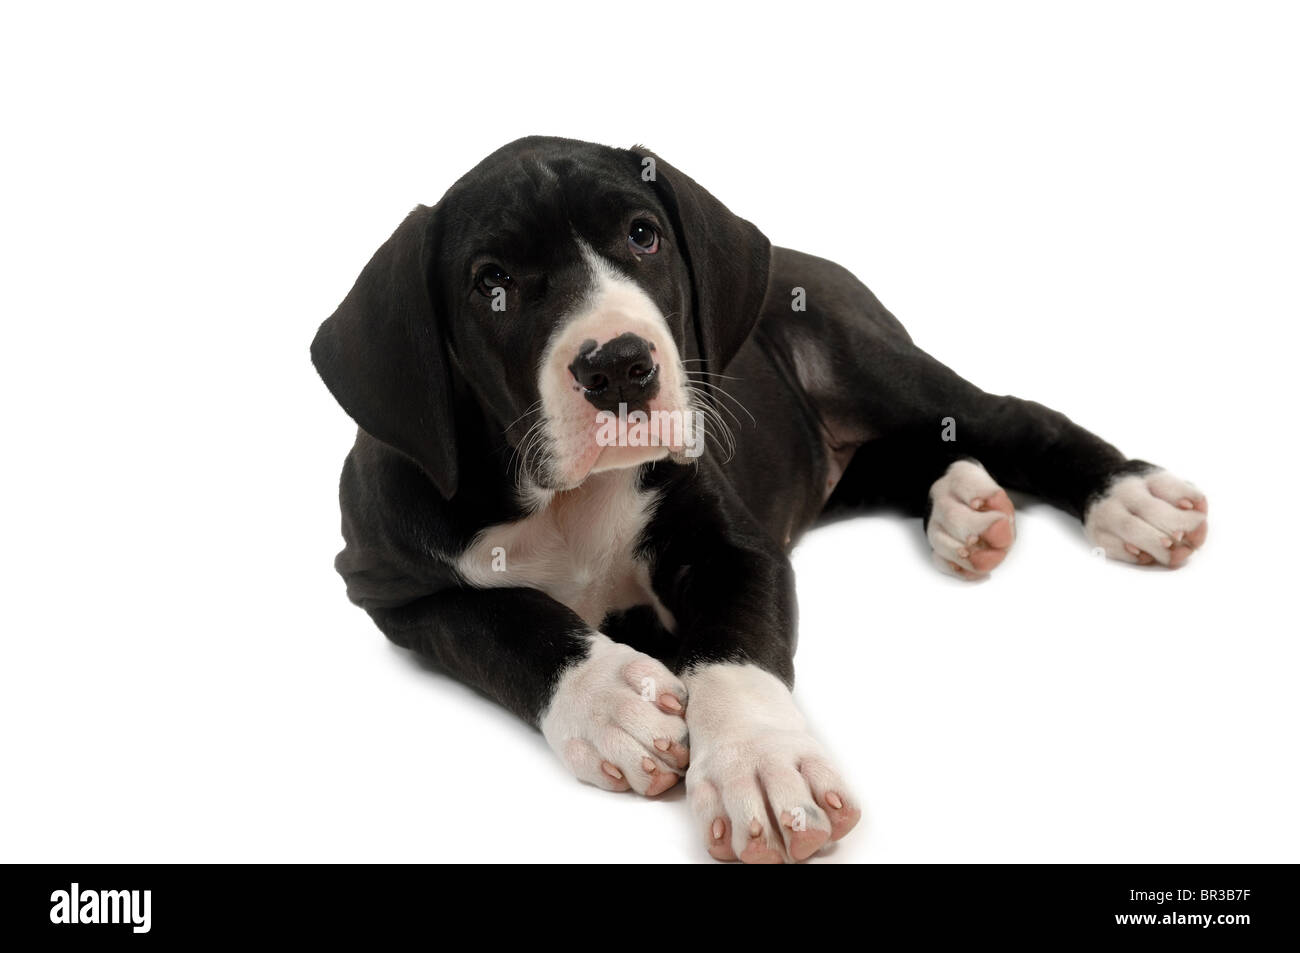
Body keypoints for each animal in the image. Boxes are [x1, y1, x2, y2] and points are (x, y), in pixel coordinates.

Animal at [312, 135, 1206, 863]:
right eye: (490, 282)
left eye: (643, 234)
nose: (618, 365)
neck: (561, 495)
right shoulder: (390, 588)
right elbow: (504, 621)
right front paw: (610, 700)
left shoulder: (734, 545)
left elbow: (733, 649)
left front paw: (763, 768)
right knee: (904, 459)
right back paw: (965, 508)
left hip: (871, 363)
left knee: (1013, 420)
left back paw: (1130, 497)